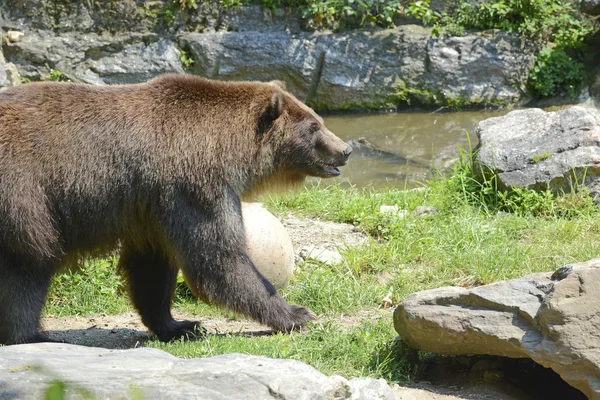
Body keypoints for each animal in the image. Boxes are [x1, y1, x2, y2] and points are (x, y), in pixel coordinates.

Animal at [0, 74, 352, 344]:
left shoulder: (150, 207)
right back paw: (29, 334)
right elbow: (218, 259)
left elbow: (151, 268)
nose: (346, 149)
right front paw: (297, 314)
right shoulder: (193, 185)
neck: (229, 148)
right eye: (313, 127)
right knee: (28, 263)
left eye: (319, 120)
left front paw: (179, 325)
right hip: (25, 196)